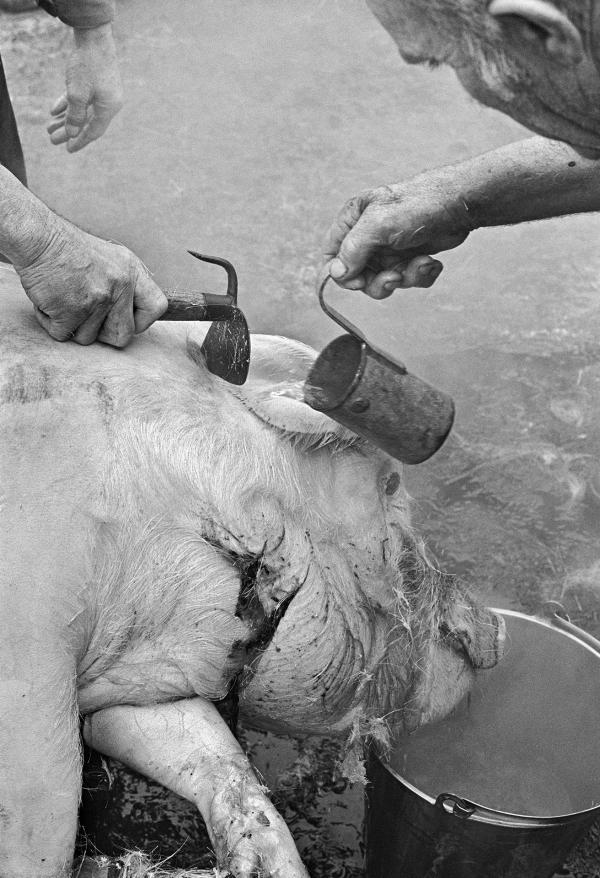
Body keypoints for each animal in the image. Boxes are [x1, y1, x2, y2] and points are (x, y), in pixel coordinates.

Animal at [0, 266, 504, 878]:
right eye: (389, 485)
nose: (493, 628)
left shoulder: (141, 673)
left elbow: (220, 760)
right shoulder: (27, 680)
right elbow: (40, 830)